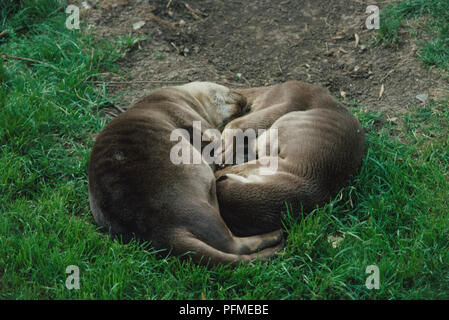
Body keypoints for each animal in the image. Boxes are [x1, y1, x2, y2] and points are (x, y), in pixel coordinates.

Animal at [87, 82, 282, 264]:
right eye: (231, 90)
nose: (244, 100)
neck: (179, 97)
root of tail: (163, 228)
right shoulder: (188, 115)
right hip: (200, 206)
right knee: (233, 245)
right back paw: (277, 236)